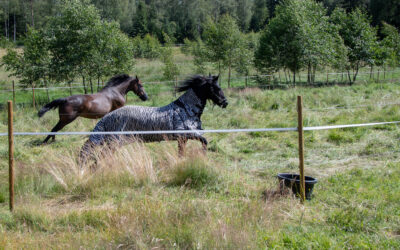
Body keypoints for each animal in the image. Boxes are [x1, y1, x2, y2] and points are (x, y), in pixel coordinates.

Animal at [79, 74, 228, 164]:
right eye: (214, 88)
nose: (225, 103)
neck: (186, 109)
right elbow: (204, 142)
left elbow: (182, 152)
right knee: (102, 154)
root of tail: (107, 117)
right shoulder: (186, 135)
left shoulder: (182, 139)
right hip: (115, 141)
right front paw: (203, 156)